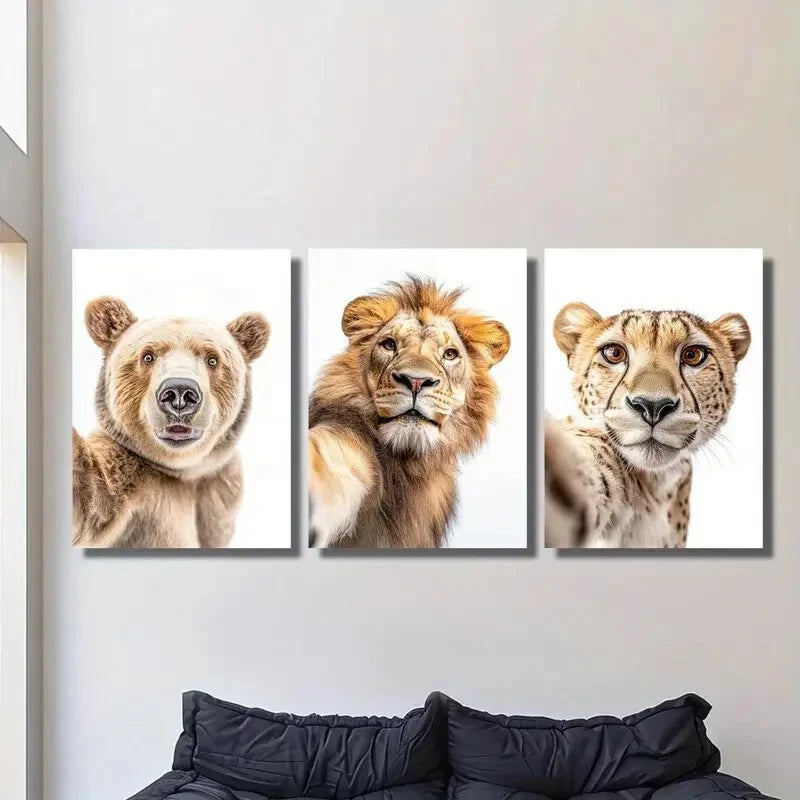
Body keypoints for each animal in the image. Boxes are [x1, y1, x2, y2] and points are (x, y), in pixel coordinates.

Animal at [72, 296, 270, 548]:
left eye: (212, 359)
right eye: (147, 356)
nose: (179, 394)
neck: (184, 471)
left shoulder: (221, 489)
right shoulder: (129, 479)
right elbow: (92, 500)